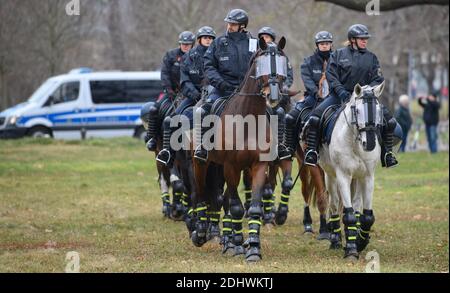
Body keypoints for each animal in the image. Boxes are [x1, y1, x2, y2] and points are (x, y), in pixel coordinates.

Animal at [190, 36, 288, 260]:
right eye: (260, 64)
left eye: (283, 63)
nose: (273, 96)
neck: (247, 118)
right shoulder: (231, 166)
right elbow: (235, 207)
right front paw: (237, 245)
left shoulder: (258, 165)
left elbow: (253, 208)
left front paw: (252, 248)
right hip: (202, 164)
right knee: (201, 194)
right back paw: (200, 233)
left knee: (221, 199)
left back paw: (229, 241)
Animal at [318, 81, 384, 258]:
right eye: (357, 110)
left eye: (379, 111)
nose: (369, 144)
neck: (354, 143)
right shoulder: (343, 176)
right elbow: (348, 214)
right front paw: (352, 250)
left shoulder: (367, 177)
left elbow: (366, 216)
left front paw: (360, 242)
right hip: (330, 176)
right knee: (334, 205)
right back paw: (336, 241)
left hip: (357, 179)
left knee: (355, 206)